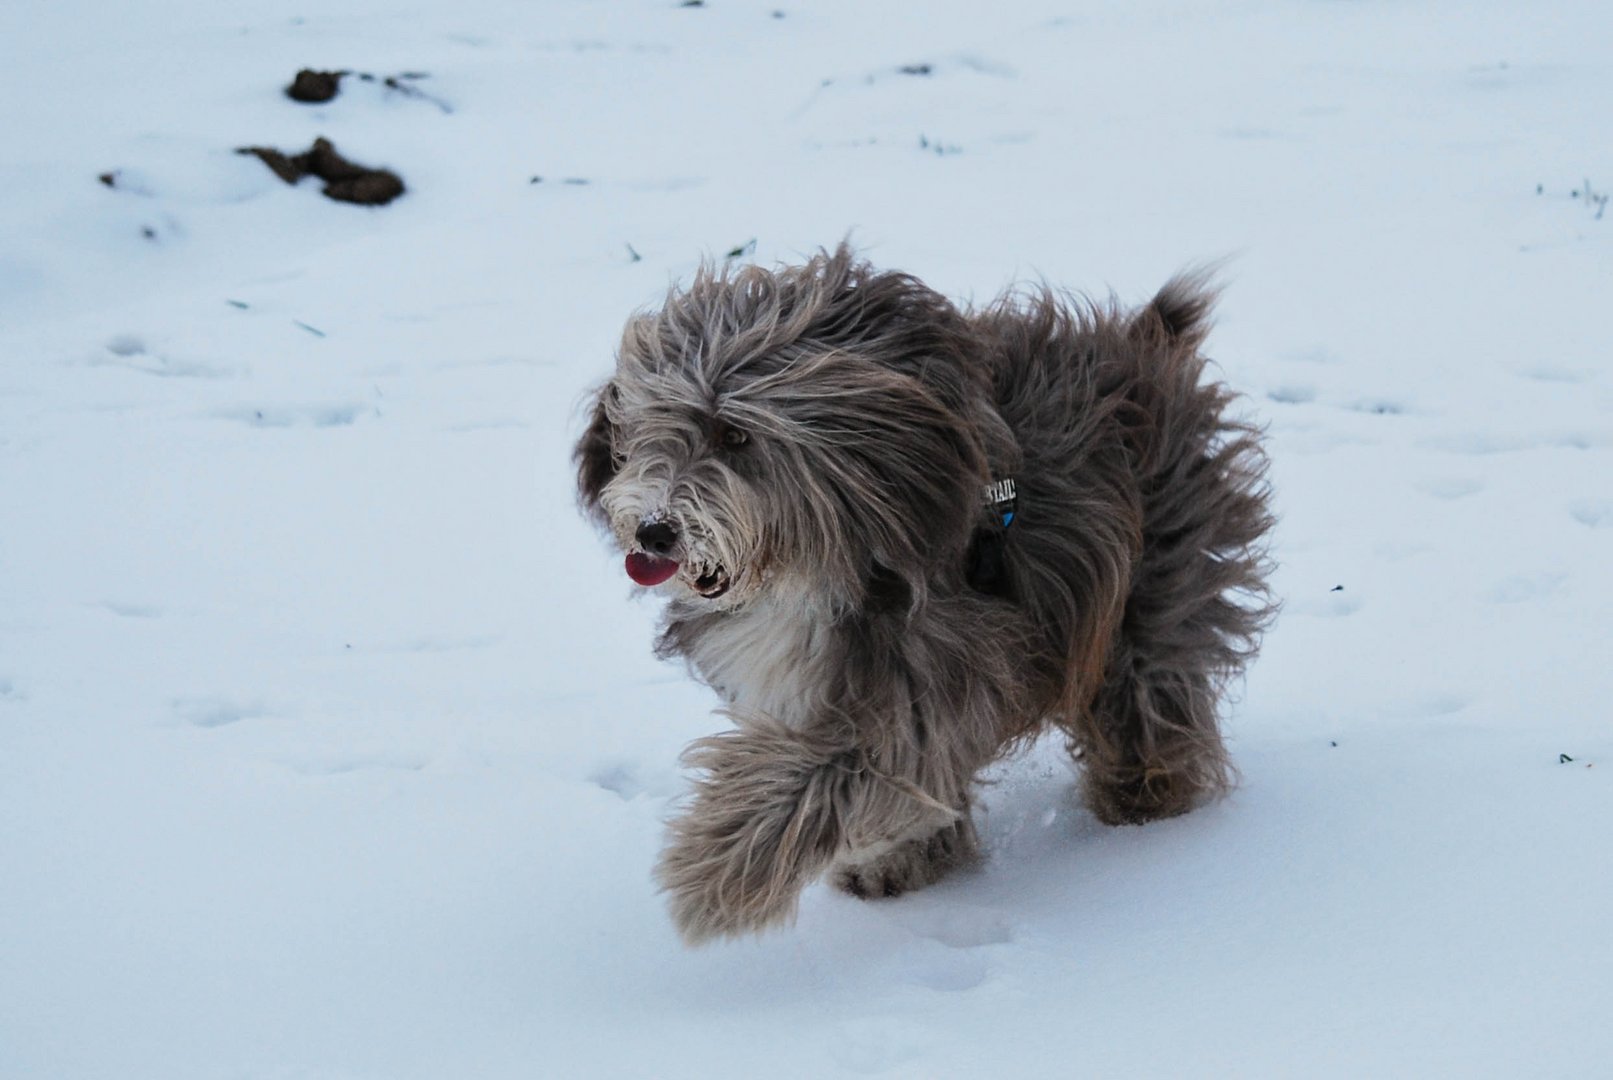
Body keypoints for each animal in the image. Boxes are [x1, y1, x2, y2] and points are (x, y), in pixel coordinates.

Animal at [580, 245, 1271, 947]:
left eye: (736, 436)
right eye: (653, 427)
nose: (655, 531)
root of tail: (1146, 347)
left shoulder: (928, 678)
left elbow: (831, 773)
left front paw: (712, 878)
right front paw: (901, 860)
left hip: (1156, 575)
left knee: (1149, 681)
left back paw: (1146, 795)